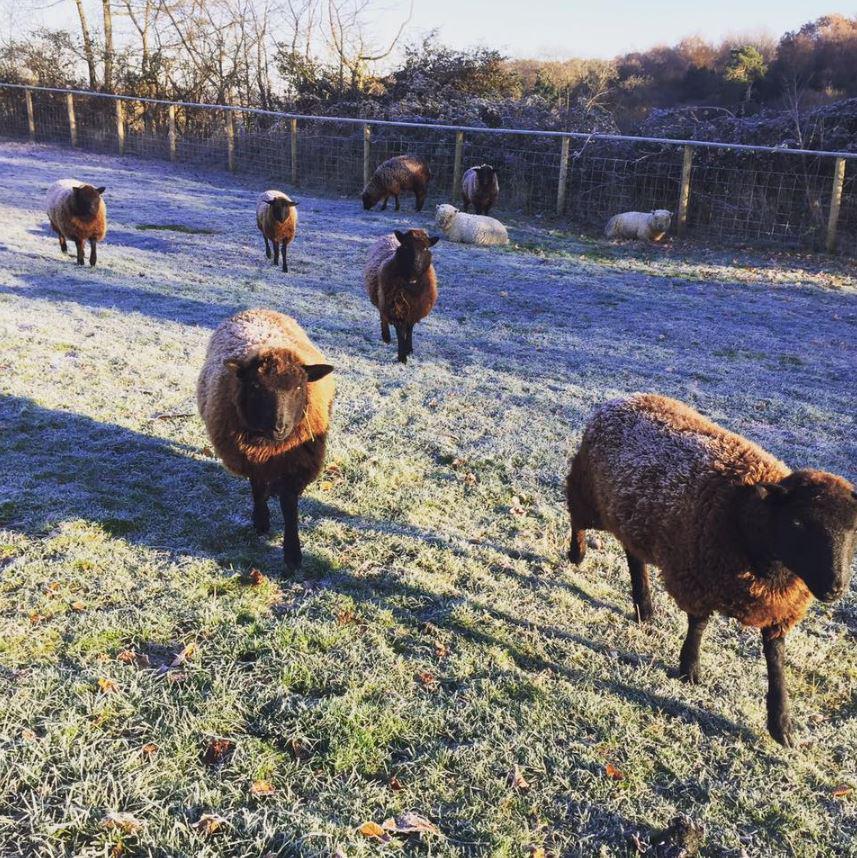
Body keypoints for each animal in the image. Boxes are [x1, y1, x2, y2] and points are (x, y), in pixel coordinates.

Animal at [197, 304, 334, 572]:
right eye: (256, 387)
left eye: (299, 387)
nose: (279, 427)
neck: (271, 446)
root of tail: (259, 309)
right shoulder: (252, 459)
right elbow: (257, 488)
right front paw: (261, 522)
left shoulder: (294, 463)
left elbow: (289, 506)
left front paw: (292, 554)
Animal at [362, 227, 438, 362]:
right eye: (406, 246)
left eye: (426, 248)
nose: (416, 265)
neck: (411, 283)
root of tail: (390, 236)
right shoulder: (396, 307)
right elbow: (400, 331)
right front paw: (402, 356)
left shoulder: (415, 309)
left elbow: (409, 328)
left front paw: (409, 348)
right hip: (382, 297)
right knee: (382, 315)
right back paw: (386, 337)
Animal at [564, 392, 852, 744]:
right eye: (797, 522)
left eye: (852, 529)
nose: (835, 588)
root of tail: (624, 398)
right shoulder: (696, 577)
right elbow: (698, 625)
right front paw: (689, 669)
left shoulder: (778, 607)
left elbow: (776, 658)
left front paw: (781, 725)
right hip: (586, 489)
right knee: (577, 520)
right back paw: (577, 554)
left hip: (630, 515)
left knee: (634, 557)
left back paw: (645, 607)